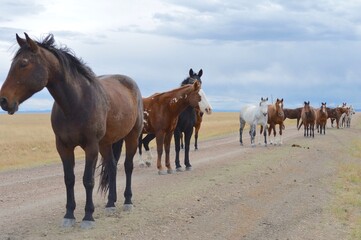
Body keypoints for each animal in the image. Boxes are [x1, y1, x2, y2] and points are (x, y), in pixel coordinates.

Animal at [0, 32, 143, 228]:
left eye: (23, 63)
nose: (3, 100)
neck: (75, 103)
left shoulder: (91, 147)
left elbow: (88, 180)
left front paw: (88, 216)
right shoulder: (63, 147)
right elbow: (69, 179)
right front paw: (69, 214)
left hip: (132, 136)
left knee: (128, 166)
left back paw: (128, 201)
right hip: (106, 143)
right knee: (112, 167)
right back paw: (110, 204)